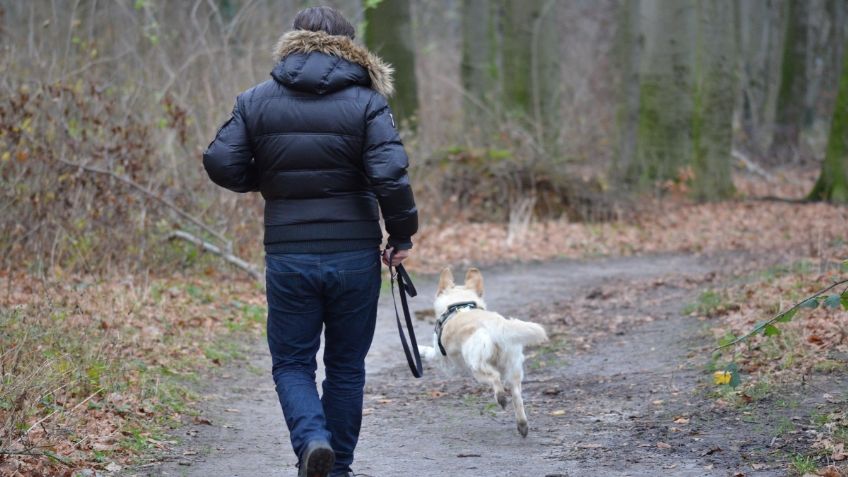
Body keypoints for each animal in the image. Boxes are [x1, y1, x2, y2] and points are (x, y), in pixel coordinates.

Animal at [420, 268, 548, 436]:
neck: (459, 305)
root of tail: (496, 325)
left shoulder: (444, 361)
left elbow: (429, 352)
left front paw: (419, 349)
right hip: (513, 369)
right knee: (517, 396)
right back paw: (522, 425)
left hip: (477, 368)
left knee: (495, 378)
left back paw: (501, 398)